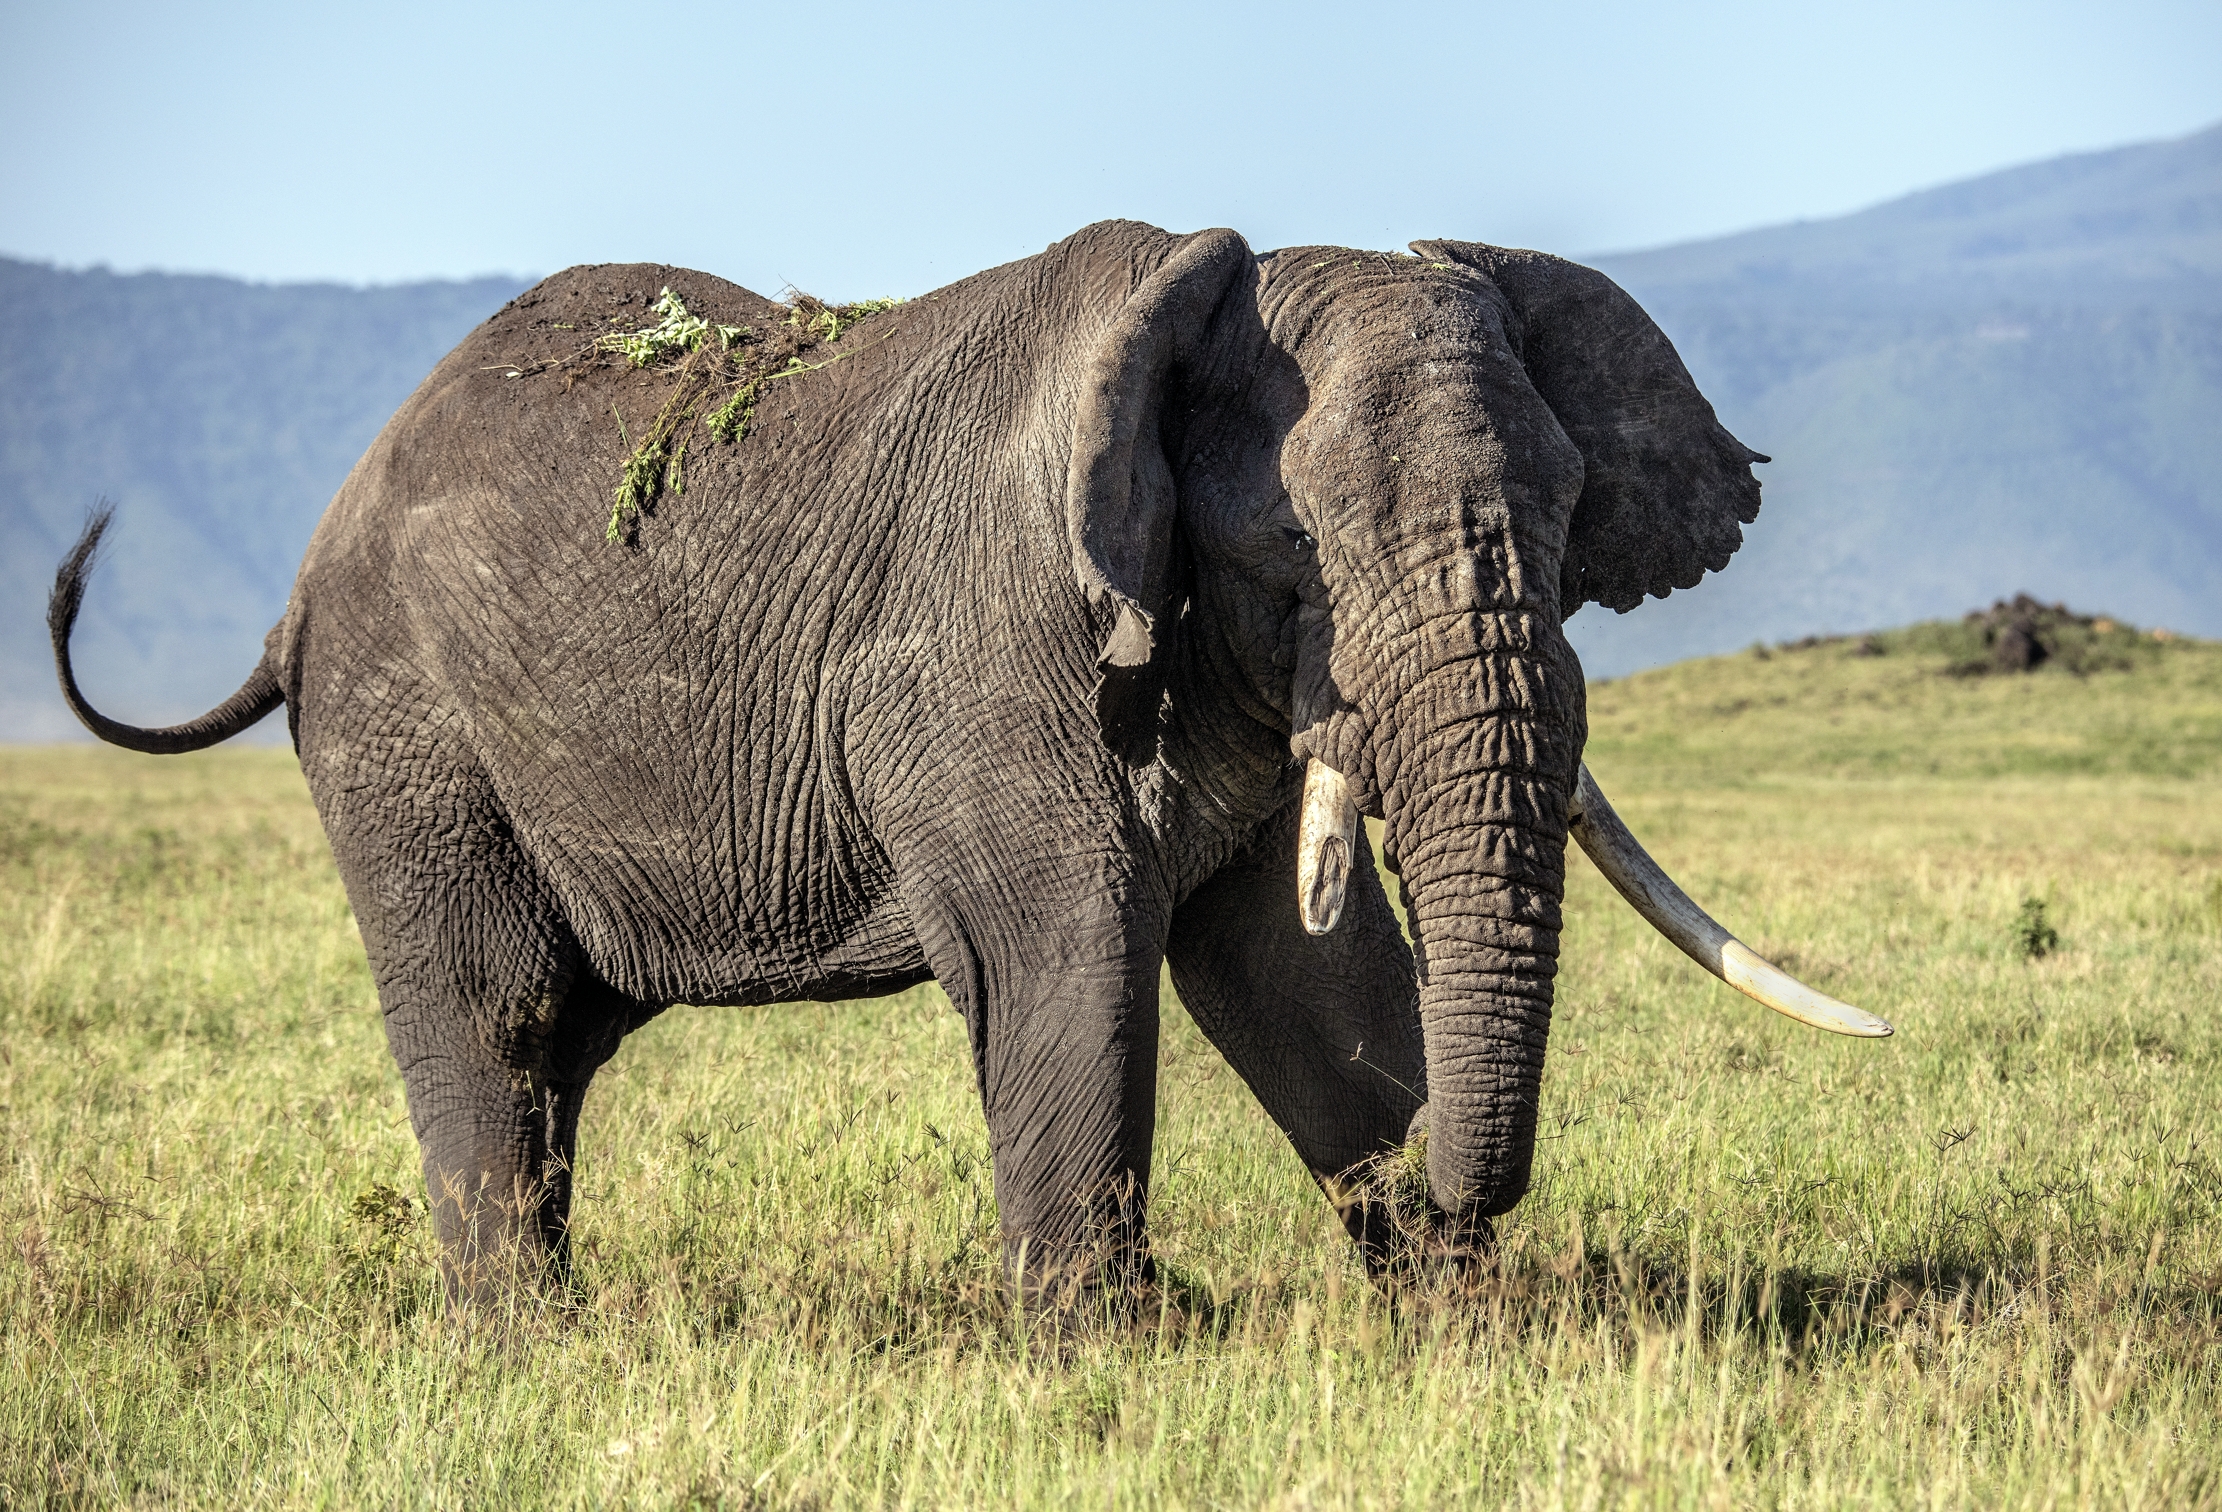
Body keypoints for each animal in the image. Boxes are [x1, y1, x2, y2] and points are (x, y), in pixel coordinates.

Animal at [50, 220, 1885, 1304]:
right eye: (1295, 541)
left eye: (1571, 518)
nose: (1459, 1204)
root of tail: (308, 567)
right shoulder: (988, 648)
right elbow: (1059, 949)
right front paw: (1120, 1349)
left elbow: (1302, 972)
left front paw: (1455, 1315)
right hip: (405, 731)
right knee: (495, 1007)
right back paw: (530, 1345)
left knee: (558, 1036)